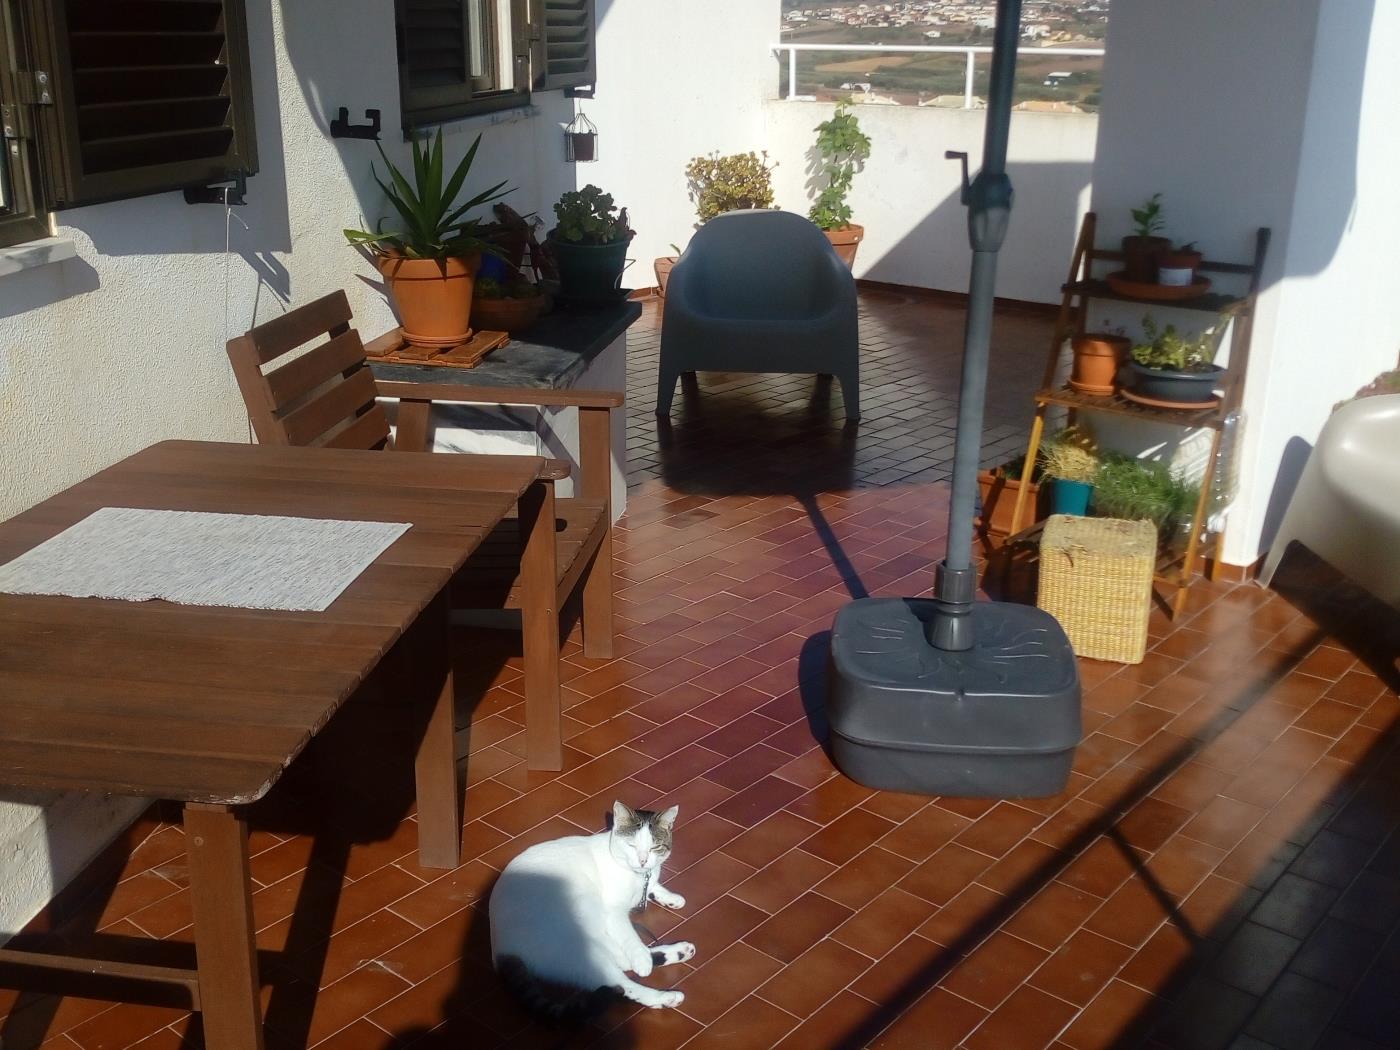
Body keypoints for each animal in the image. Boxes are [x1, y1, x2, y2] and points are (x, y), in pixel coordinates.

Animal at [490, 806, 697, 1019]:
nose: (642, 861)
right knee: (621, 978)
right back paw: (664, 995)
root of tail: (502, 950)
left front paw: (671, 898)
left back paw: (680, 951)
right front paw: (641, 960)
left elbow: (651, 887)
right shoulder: (613, 912)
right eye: (631, 845)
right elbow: (630, 938)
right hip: (577, 931)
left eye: (655, 848)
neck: (637, 875)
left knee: (620, 960)